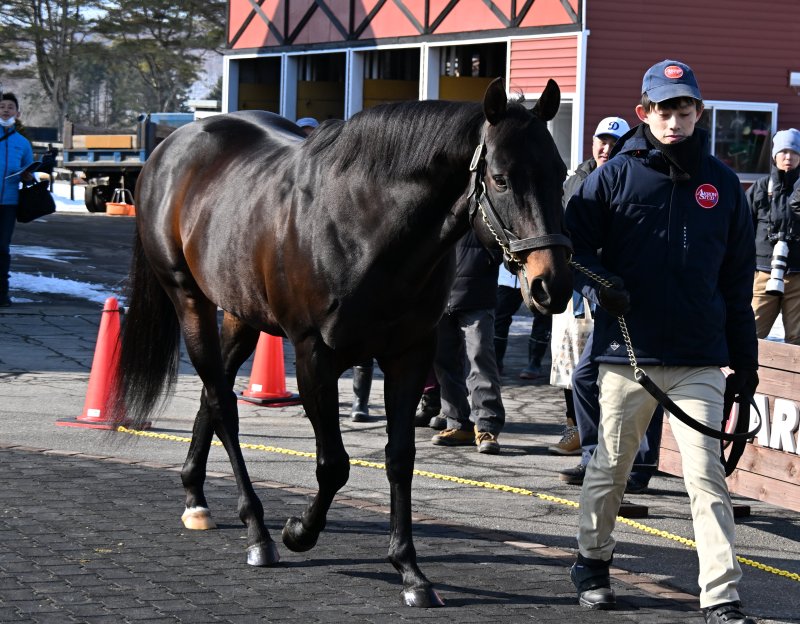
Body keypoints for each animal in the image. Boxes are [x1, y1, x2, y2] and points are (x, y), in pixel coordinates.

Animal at [114, 77, 572, 607]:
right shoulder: (315, 354)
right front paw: (298, 532)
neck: (364, 225)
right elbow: (334, 464)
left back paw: (196, 497)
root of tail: (170, 148)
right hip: (189, 299)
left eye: (560, 173)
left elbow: (399, 458)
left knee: (215, 392)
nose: (551, 285)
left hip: (241, 312)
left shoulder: (409, 355)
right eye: (500, 178)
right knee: (224, 405)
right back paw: (258, 532)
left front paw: (410, 570)